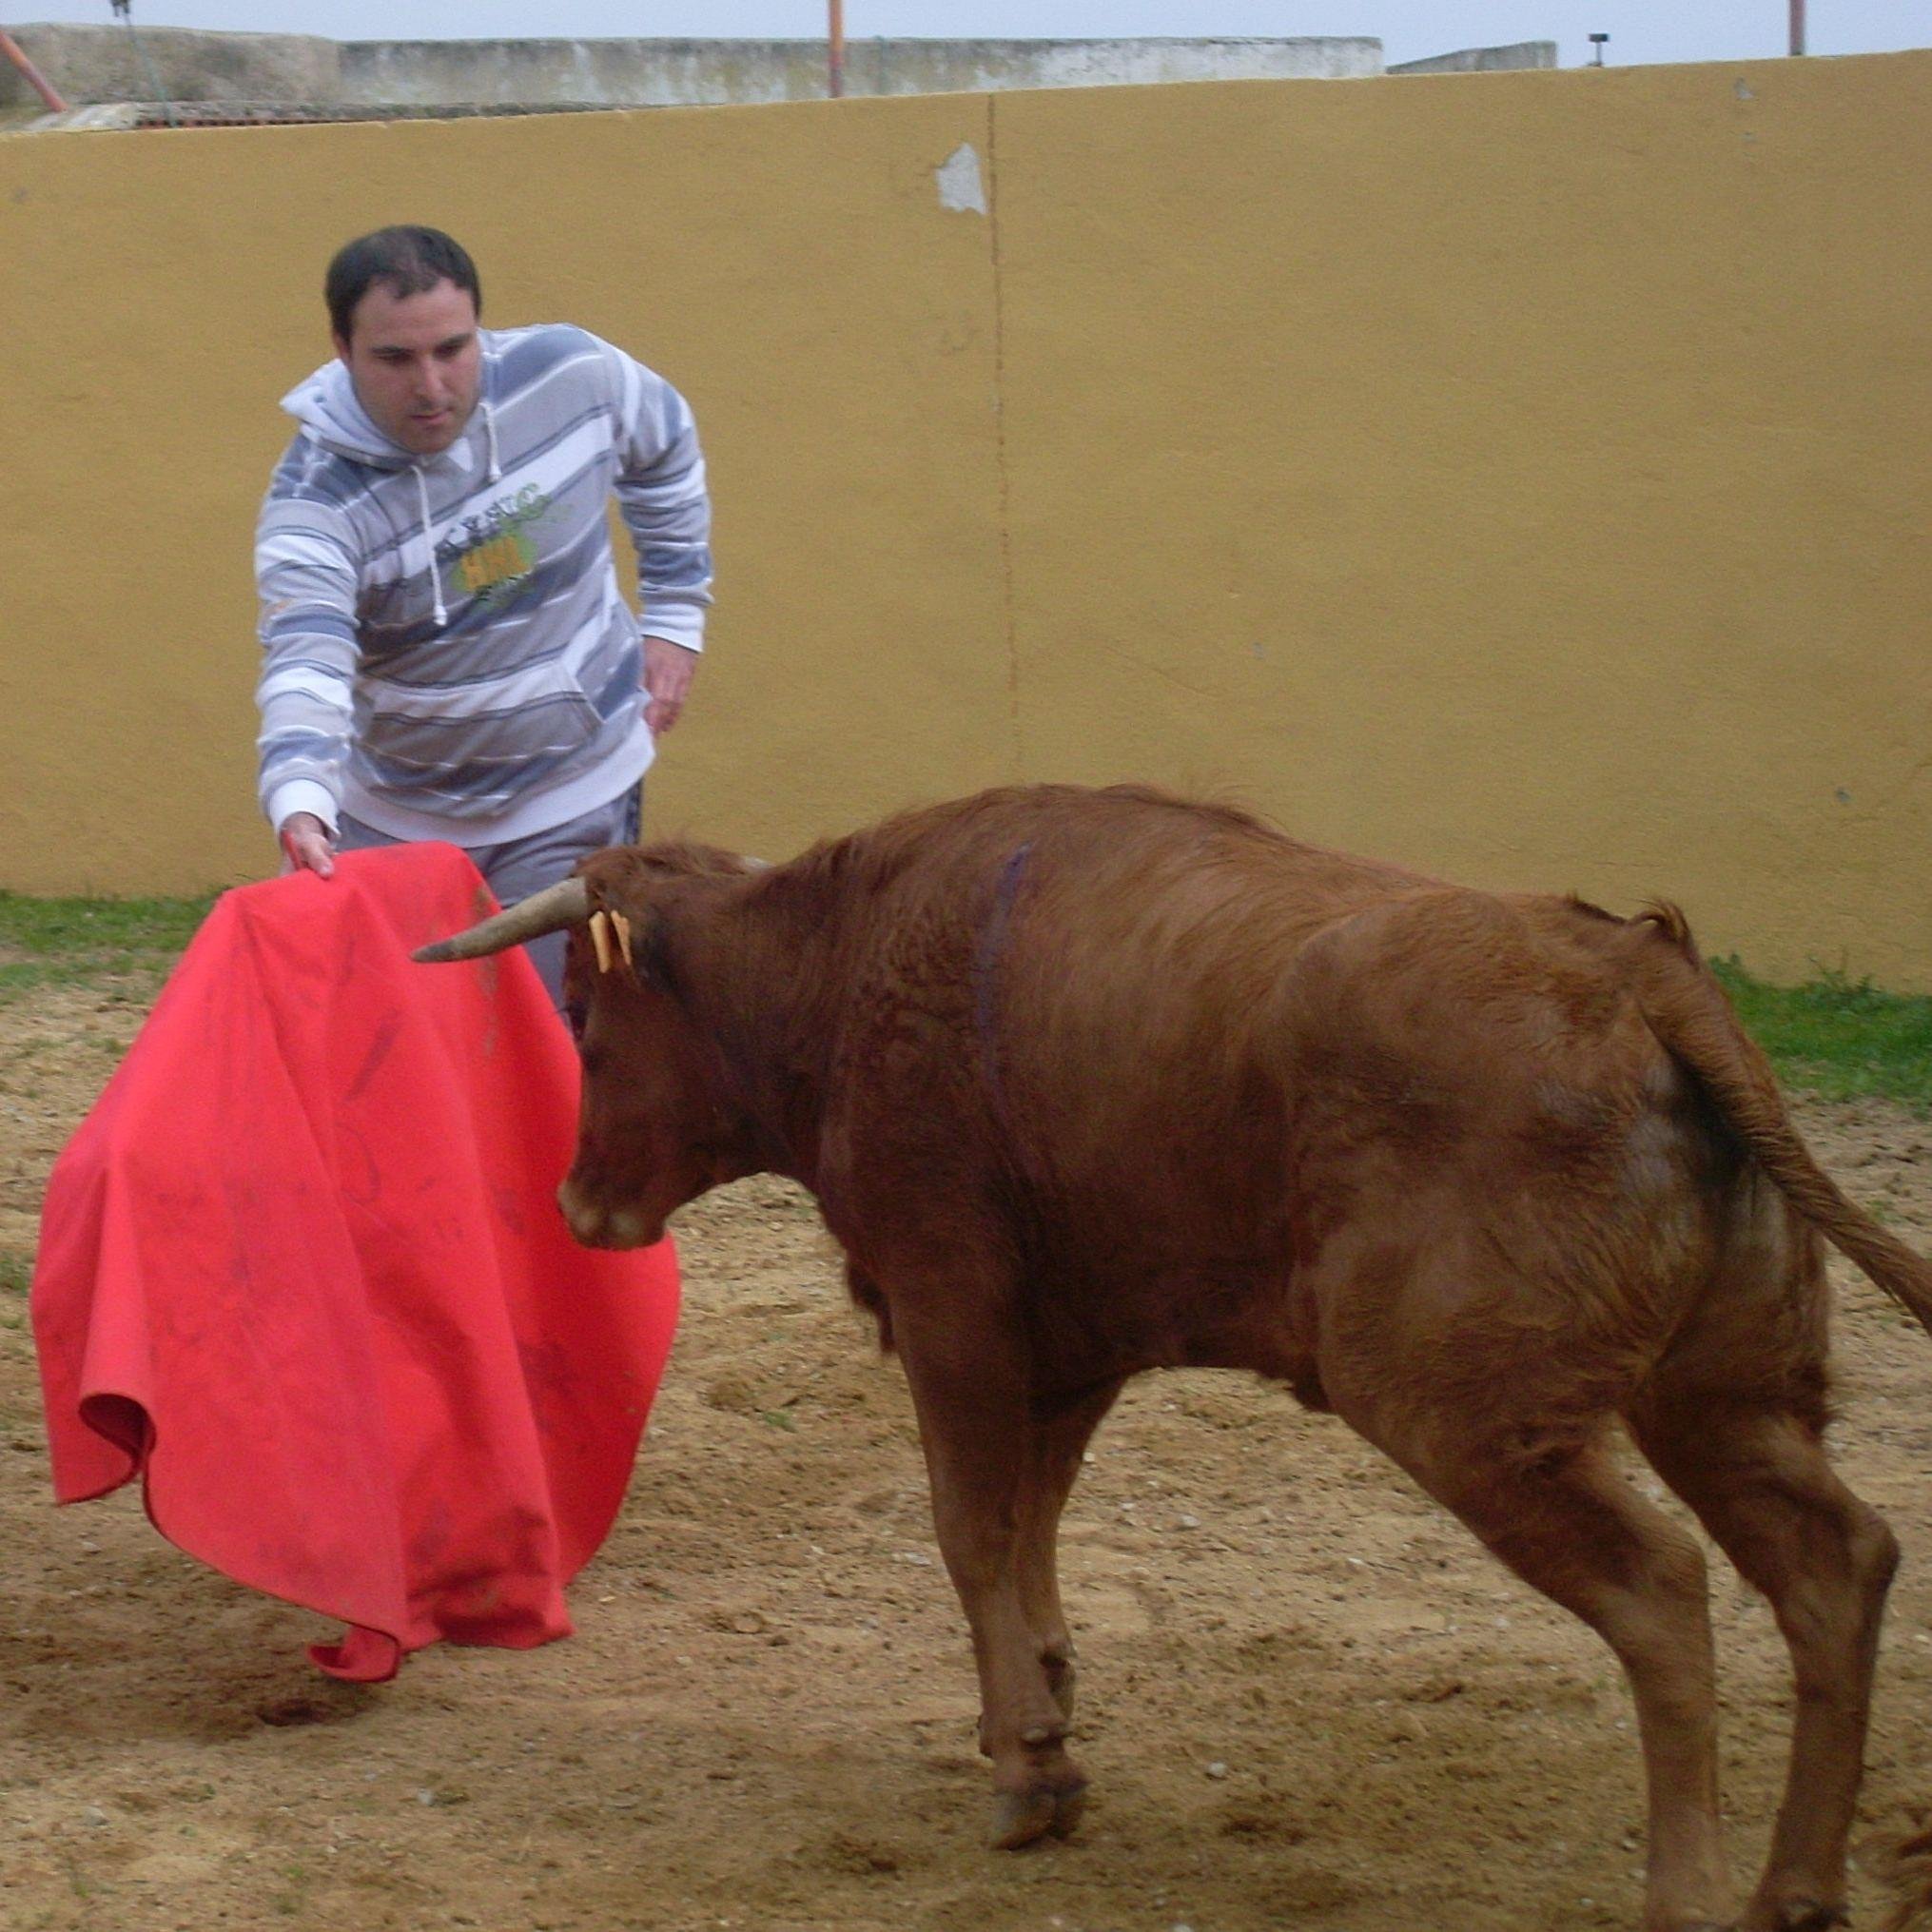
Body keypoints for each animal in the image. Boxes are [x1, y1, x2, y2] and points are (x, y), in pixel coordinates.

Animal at [411, 784, 1931, 1931]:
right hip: (1716, 1394)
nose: (577, 1206)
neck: (836, 963)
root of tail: (1640, 974)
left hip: (1464, 1412)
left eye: (586, 1019)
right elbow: (1028, 1527)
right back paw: (1795, 1889)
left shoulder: (952, 1305)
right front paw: (1042, 1718)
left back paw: (1691, 1891)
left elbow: (969, 1525)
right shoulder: (1071, 1348)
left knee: (1662, 1590)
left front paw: (1027, 1773)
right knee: (1831, 1561)